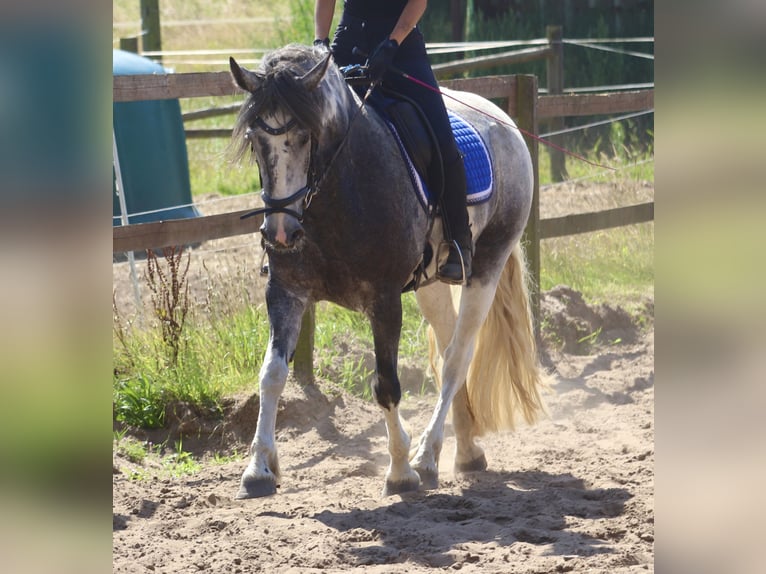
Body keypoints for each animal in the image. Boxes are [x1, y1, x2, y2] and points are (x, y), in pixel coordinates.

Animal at [228, 44, 544, 500]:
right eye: (255, 140)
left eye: (306, 136)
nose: (281, 233)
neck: (340, 191)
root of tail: (503, 121)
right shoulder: (286, 291)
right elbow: (271, 375)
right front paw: (258, 470)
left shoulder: (384, 299)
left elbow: (386, 384)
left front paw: (399, 471)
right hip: (431, 284)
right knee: (448, 348)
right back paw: (464, 450)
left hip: (488, 264)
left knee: (457, 358)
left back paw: (426, 457)